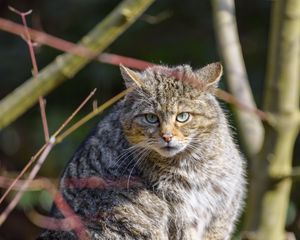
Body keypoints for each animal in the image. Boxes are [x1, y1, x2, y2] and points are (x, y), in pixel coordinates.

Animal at [38, 62, 246, 239]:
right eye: (151, 118)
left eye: (183, 116)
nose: (167, 137)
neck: (193, 165)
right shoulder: (181, 219)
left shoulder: (222, 214)